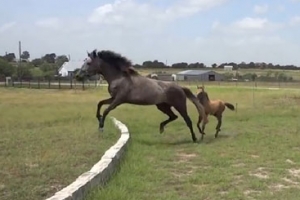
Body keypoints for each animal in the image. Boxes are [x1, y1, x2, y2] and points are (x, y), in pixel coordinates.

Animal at [76, 49, 207, 142]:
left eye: (88, 63)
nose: (78, 76)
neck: (119, 78)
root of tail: (180, 88)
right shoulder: (113, 98)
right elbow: (100, 103)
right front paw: (98, 118)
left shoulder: (118, 100)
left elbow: (106, 110)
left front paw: (101, 127)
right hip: (162, 106)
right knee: (173, 117)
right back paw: (161, 128)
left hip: (179, 105)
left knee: (187, 120)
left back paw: (195, 138)